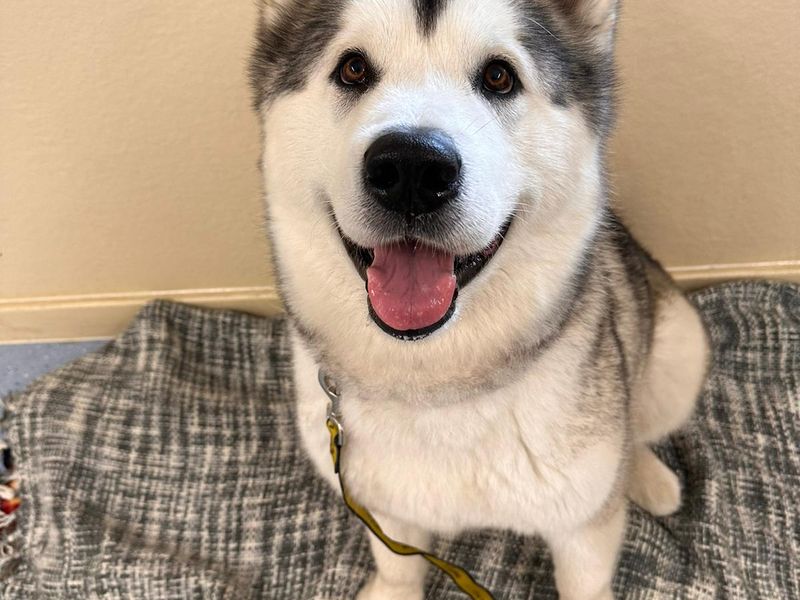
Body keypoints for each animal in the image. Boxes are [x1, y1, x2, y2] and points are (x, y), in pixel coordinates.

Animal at [248, 2, 708, 596]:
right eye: (352, 69)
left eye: (498, 76)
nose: (413, 169)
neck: (434, 385)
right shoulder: (381, 500)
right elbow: (397, 560)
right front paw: (394, 586)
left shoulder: (581, 528)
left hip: (680, 350)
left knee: (639, 422)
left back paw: (644, 474)